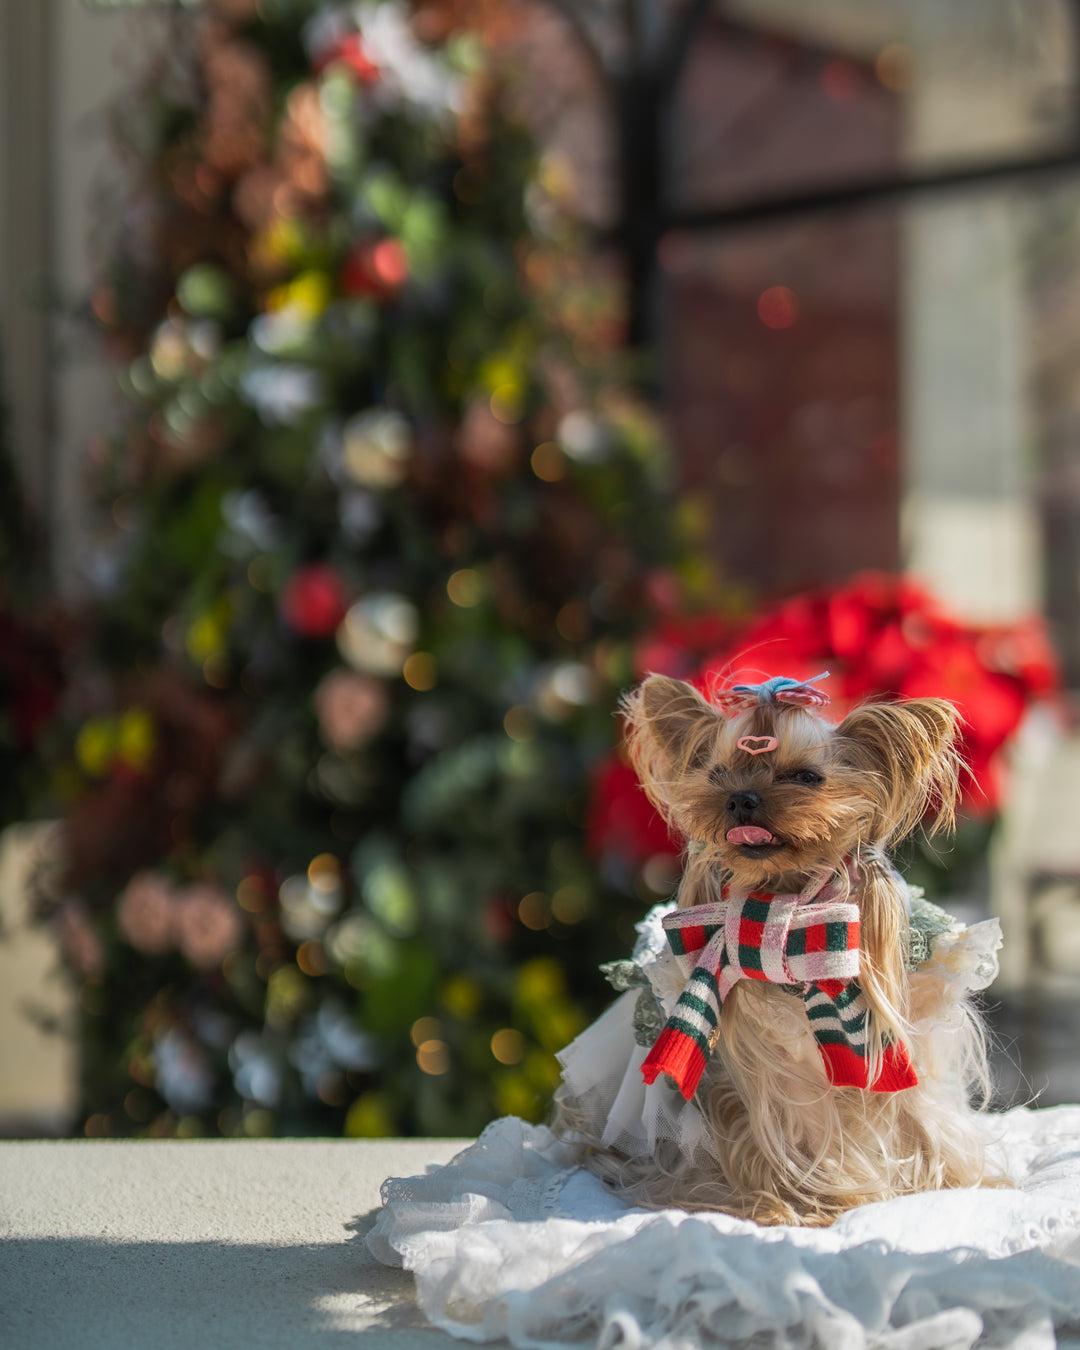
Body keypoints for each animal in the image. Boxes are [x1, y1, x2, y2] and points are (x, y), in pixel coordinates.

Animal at [556, 672, 1004, 1225]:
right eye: (717, 773)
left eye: (807, 777)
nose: (740, 798)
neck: (786, 907)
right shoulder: (746, 1074)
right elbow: (761, 1124)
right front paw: (790, 1205)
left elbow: (912, 1112)